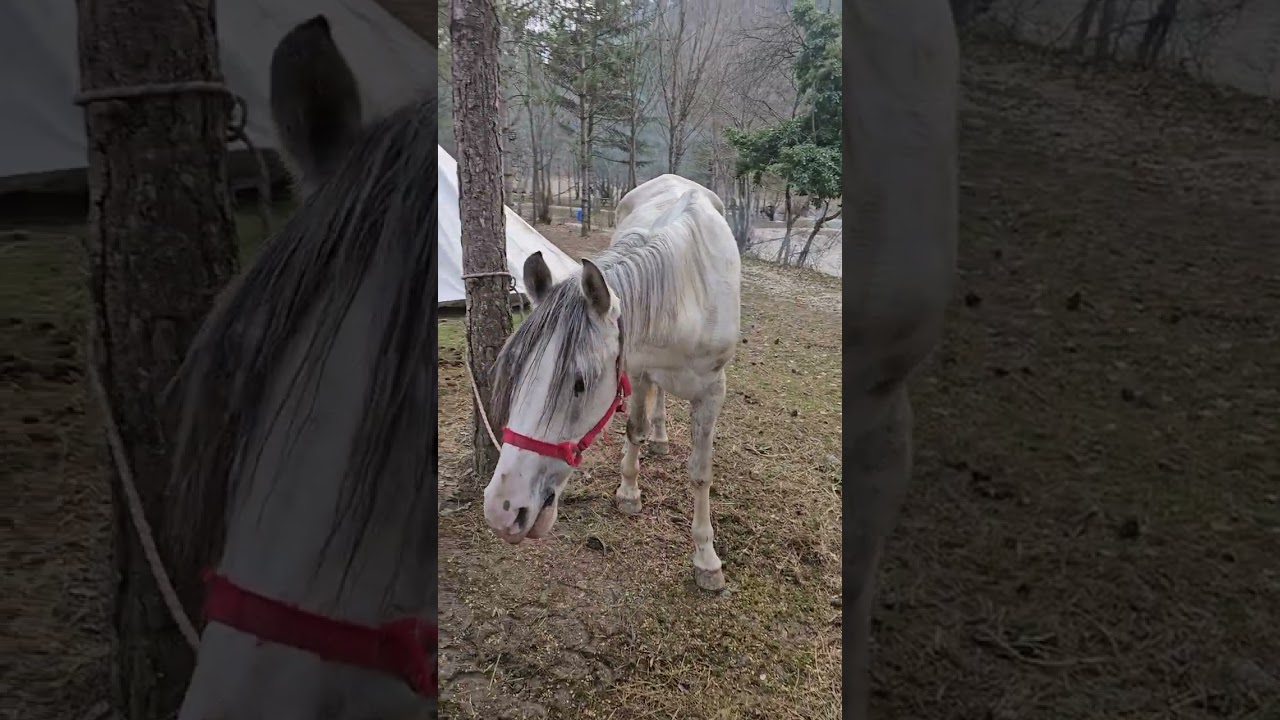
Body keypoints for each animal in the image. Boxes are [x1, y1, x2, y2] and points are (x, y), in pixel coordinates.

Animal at [482, 174, 741, 592]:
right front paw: (629, 492)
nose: (503, 510)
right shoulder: (633, 368)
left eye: (580, 384)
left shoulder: (713, 392)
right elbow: (634, 429)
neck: (687, 292)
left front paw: (706, 558)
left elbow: (701, 473)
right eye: (516, 372)